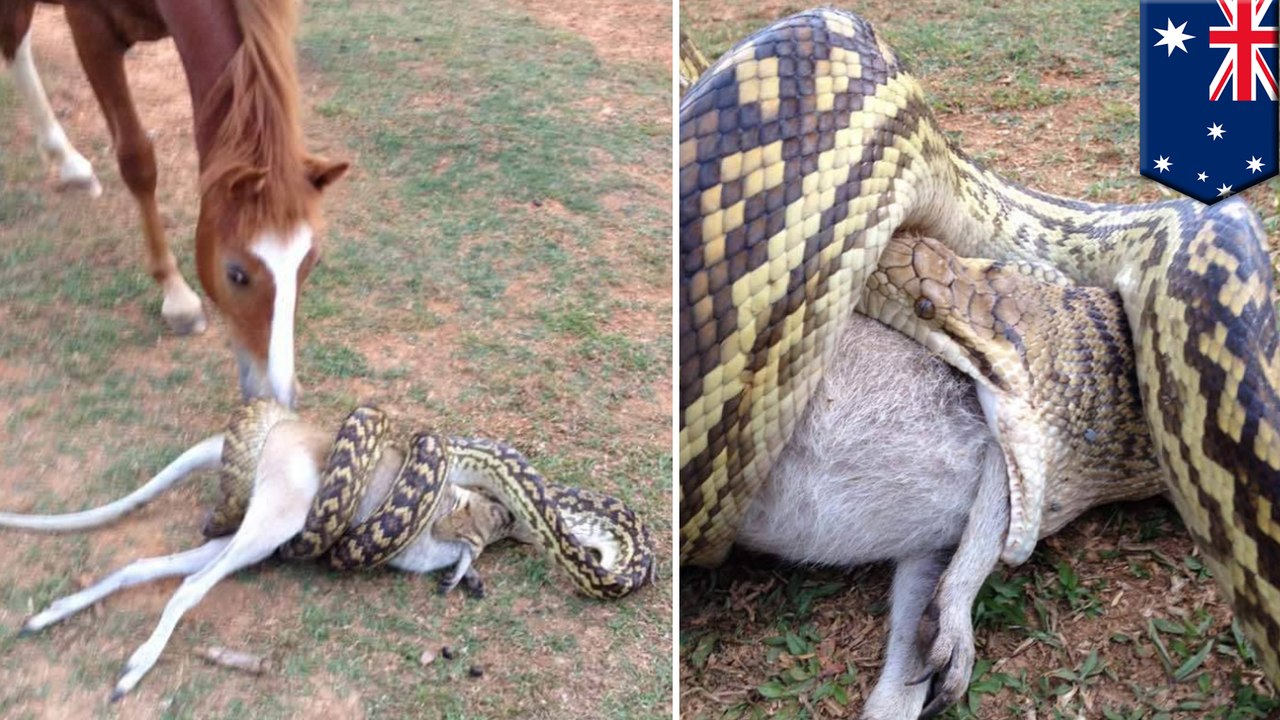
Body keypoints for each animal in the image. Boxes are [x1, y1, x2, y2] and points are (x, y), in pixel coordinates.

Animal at [0, 0, 348, 407]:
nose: (278, 395)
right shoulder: (91, 32)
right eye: (236, 273)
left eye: (311, 261)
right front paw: (177, 296)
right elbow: (137, 160)